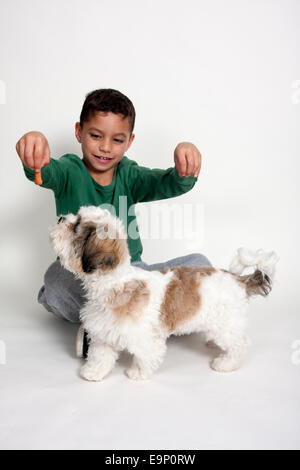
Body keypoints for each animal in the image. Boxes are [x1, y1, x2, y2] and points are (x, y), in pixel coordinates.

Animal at [49, 204, 278, 380]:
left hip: (226, 323)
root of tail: (238, 279)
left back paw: (226, 363)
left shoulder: (145, 337)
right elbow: (101, 355)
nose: (61, 217)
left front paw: (137, 373)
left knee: (239, 344)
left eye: (75, 226)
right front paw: (93, 372)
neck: (115, 282)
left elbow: (146, 355)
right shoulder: (104, 331)